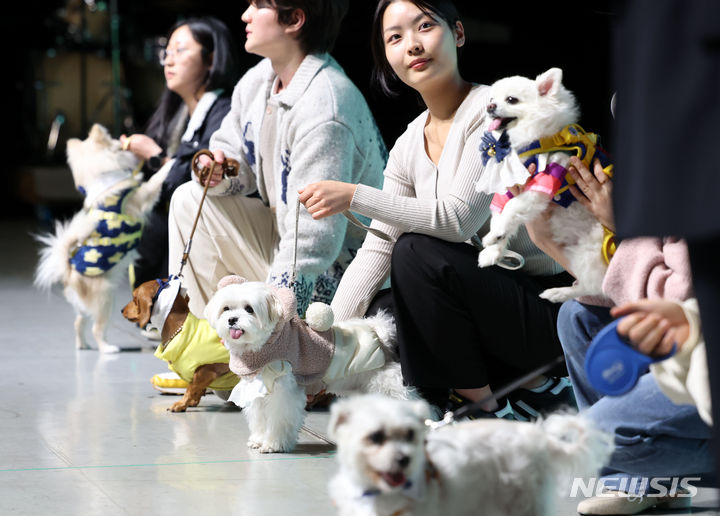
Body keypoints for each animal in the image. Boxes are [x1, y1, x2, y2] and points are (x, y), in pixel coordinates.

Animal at [34, 123, 169, 352]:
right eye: (114, 140)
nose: (123, 138)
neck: (103, 178)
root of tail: (68, 273)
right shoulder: (142, 196)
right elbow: (155, 180)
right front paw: (172, 161)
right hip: (106, 300)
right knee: (98, 328)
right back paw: (108, 349)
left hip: (87, 307)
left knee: (79, 322)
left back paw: (83, 346)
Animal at [205, 274, 414, 452]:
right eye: (226, 309)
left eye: (249, 309)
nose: (232, 320)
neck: (266, 344)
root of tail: (380, 334)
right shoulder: (258, 387)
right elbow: (259, 417)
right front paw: (258, 439)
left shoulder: (284, 388)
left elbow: (279, 417)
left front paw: (274, 444)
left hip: (387, 385)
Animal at [476, 68, 616, 302]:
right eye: (491, 99)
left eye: (511, 100)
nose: (489, 107)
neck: (535, 140)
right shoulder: (510, 184)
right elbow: (502, 213)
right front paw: (494, 248)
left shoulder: (546, 179)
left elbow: (511, 208)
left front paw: (495, 236)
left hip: (589, 251)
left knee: (596, 287)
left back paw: (560, 292)